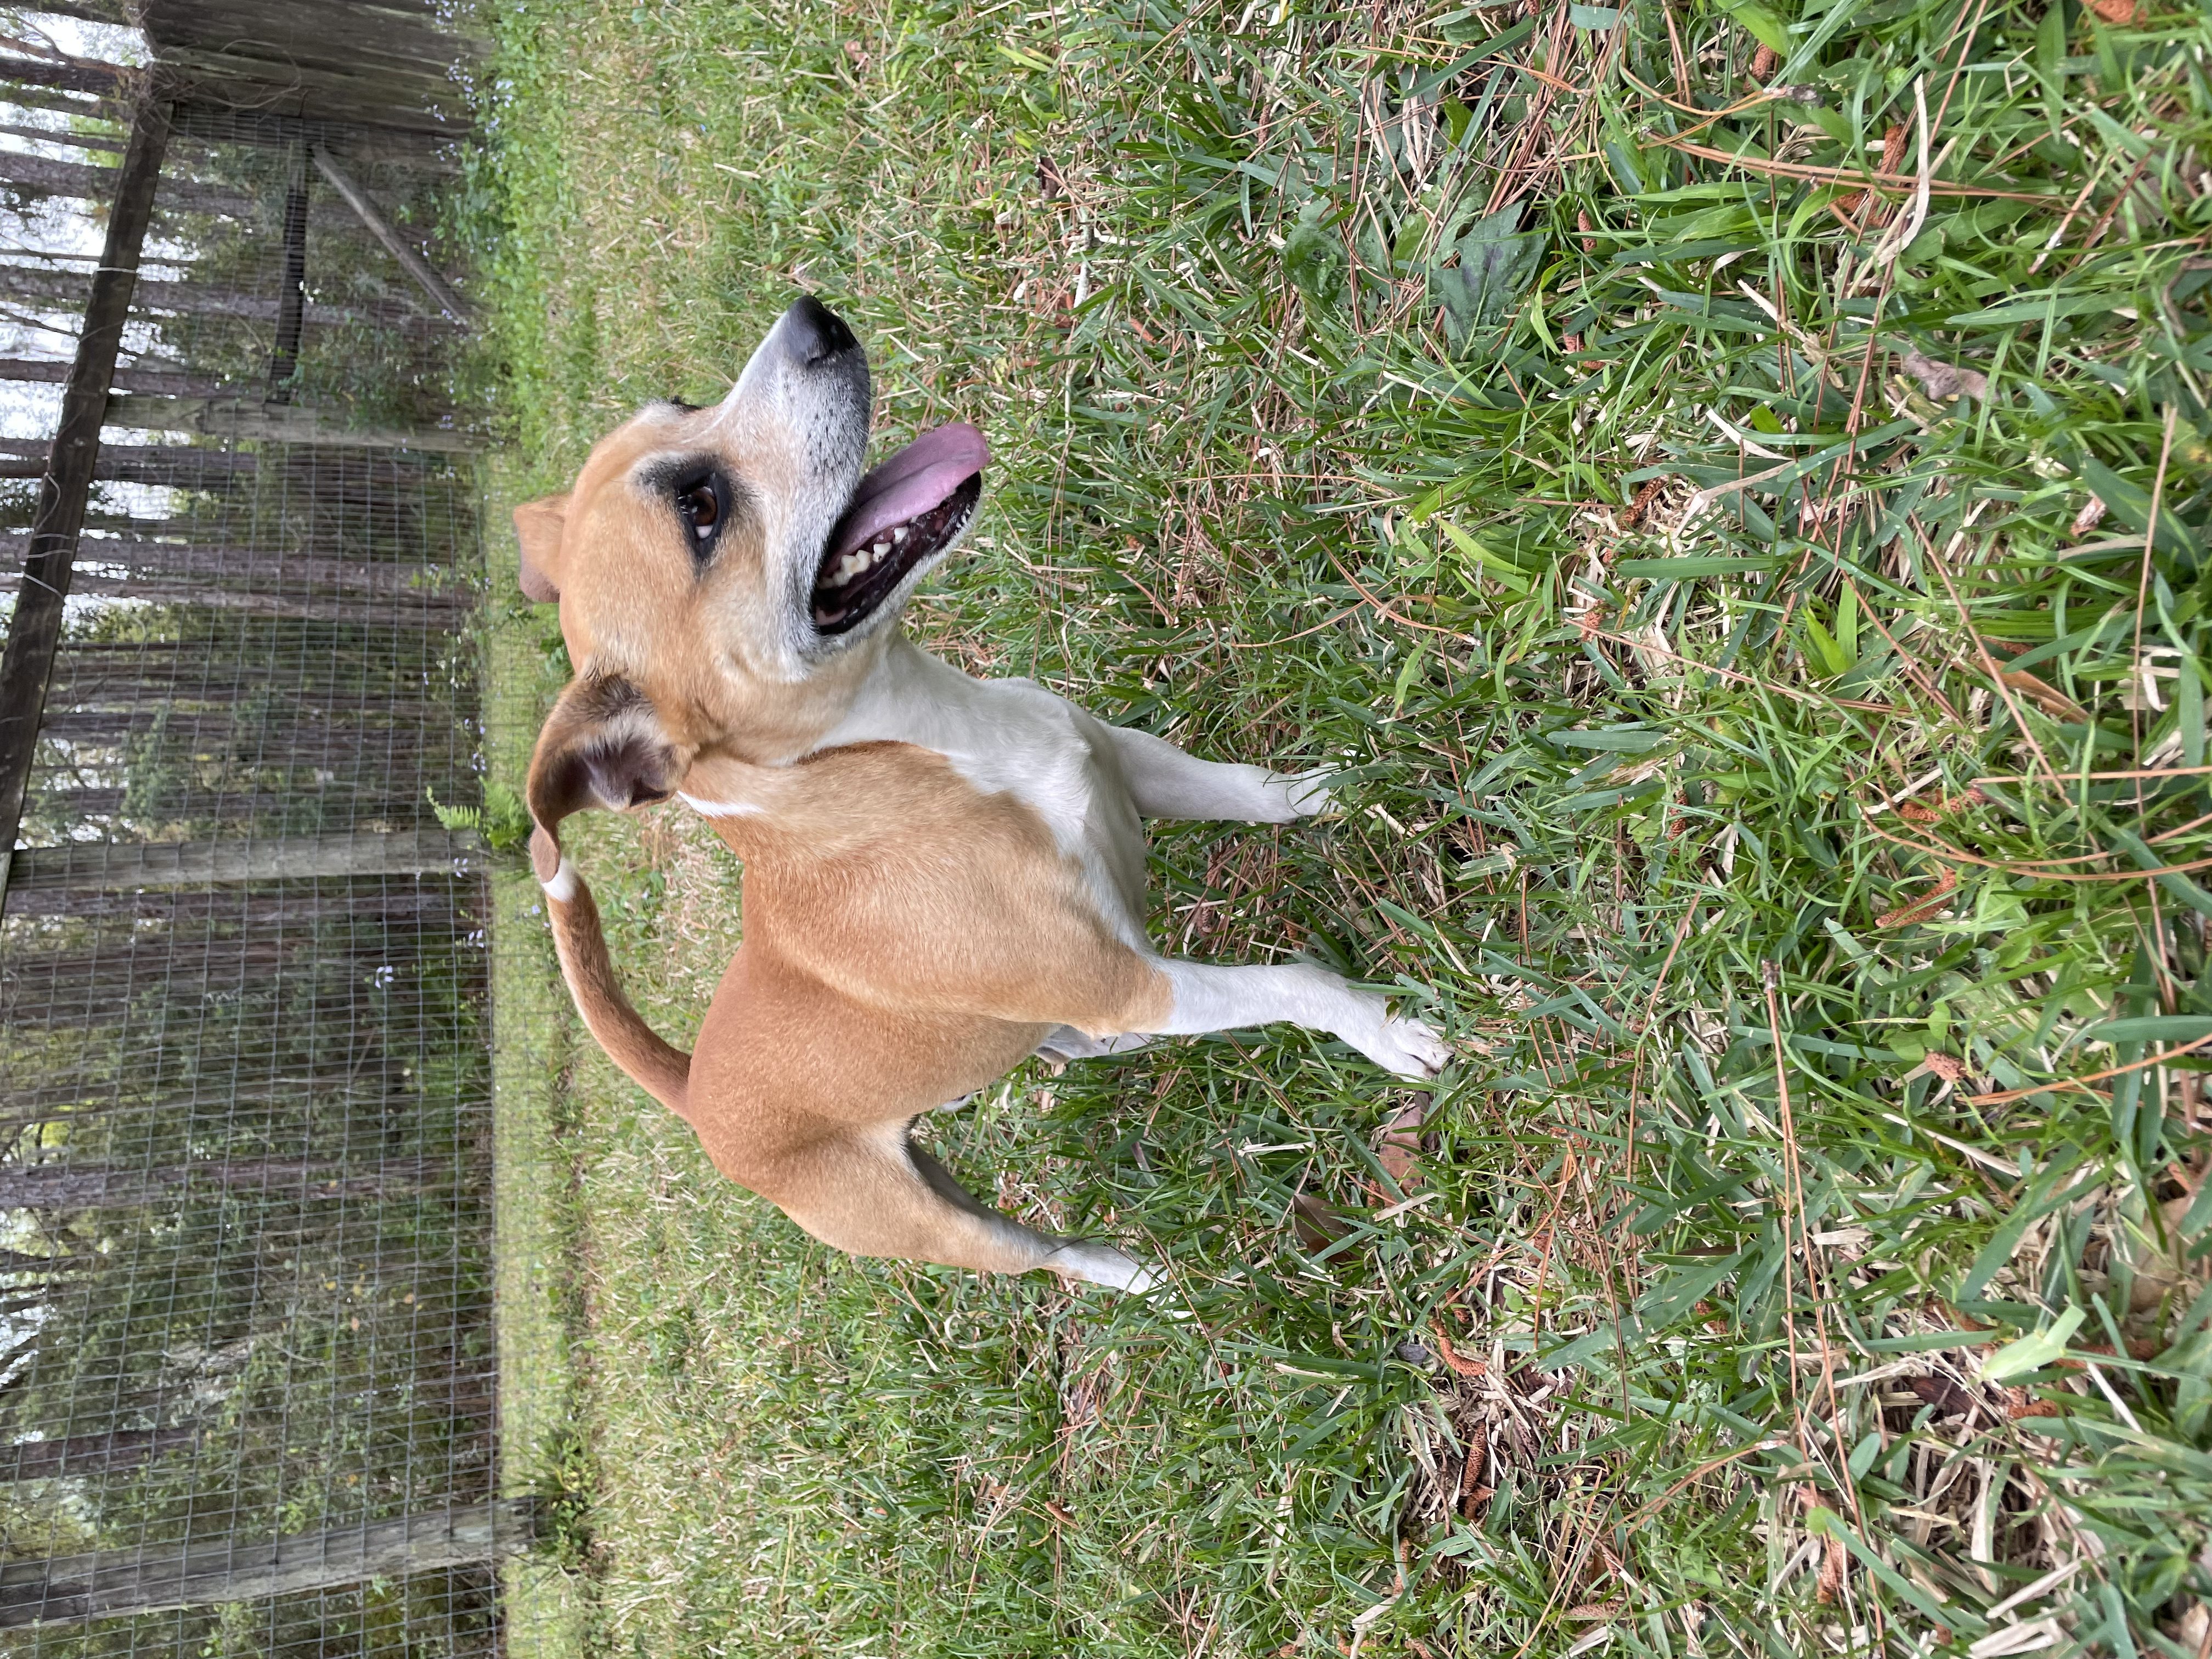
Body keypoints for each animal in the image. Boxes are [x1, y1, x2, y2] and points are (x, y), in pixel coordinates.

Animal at [517, 298, 1451, 1291]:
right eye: (701, 510)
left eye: (684, 405)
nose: (814, 316)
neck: (924, 748)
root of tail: (695, 1089)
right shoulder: (1139, 984)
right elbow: (1294, 980)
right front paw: (1386, 1026)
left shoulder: (1126, 761)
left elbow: (1258, 791)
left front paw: (1340, 782)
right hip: (941, 1226)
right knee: (1049, 1255)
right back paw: (1145, 1281)